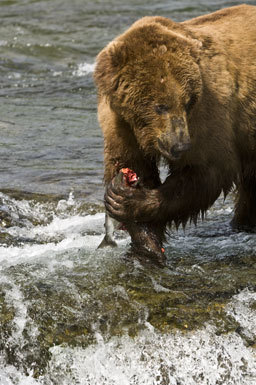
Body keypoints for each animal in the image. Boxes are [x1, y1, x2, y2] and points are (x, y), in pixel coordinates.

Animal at [94, 4, 256, 255]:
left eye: (188, 102)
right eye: (160, 106)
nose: (180, 145)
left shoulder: (209, 113)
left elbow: (207, 168)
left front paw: (130, 201)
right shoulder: (118, 121)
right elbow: (131, 162)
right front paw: (147, 241)